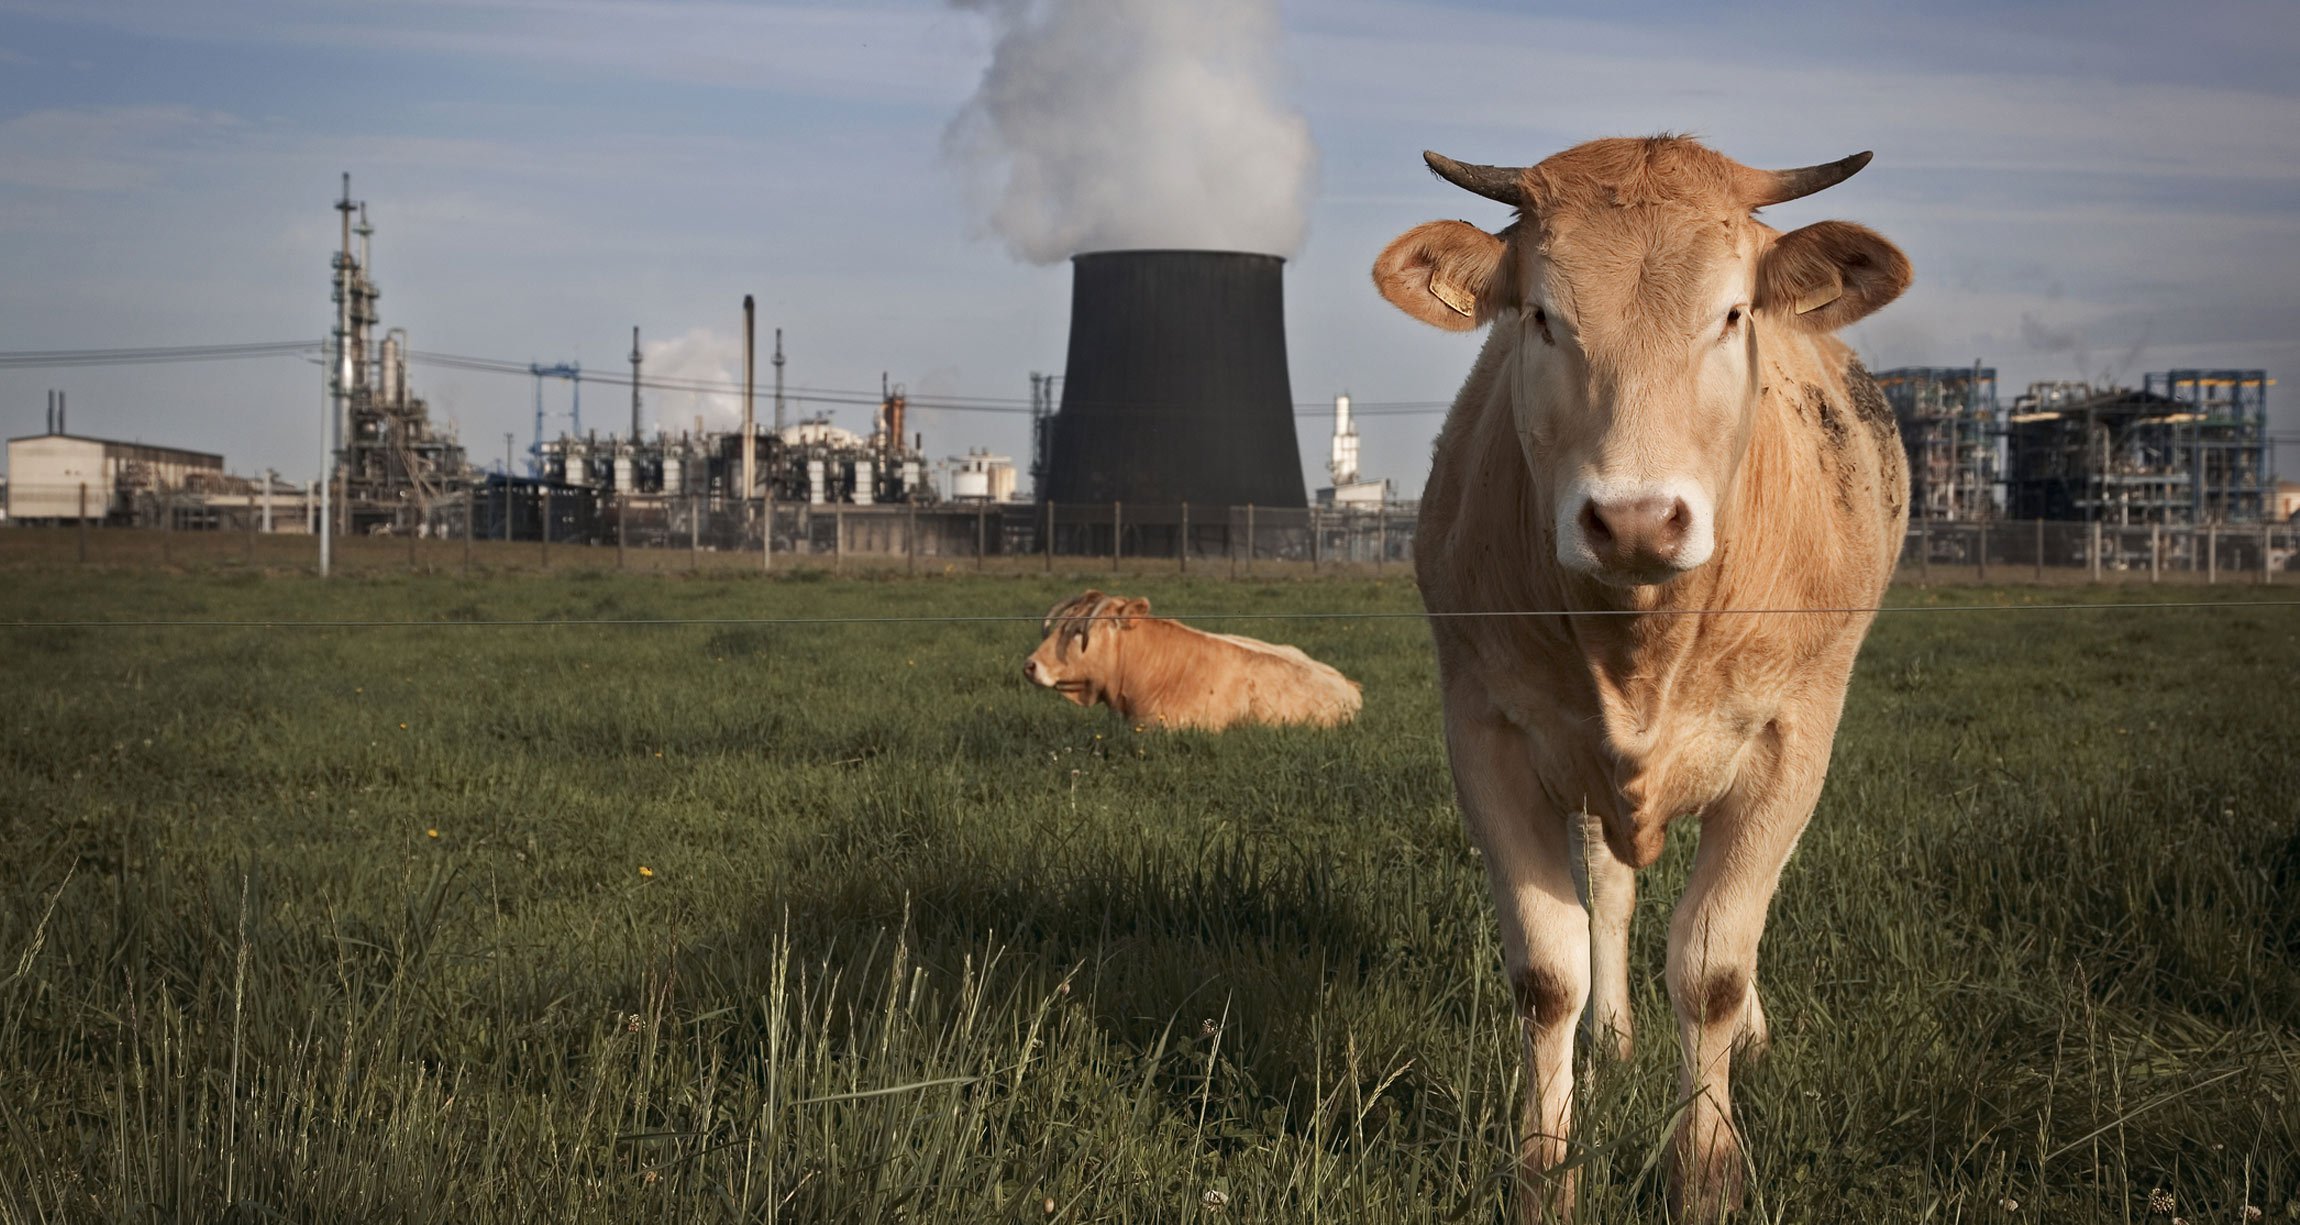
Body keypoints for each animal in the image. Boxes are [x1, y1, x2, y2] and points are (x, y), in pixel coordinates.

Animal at [1370, 138, 1913, 1213]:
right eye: (1541, 315)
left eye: (1735, 313)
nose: (1632, 519)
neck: (1640, 645)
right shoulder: (1486, 733)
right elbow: (1550, 969)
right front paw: (1546, 1172)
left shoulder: (1794, 737)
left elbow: (1713, 964)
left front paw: (1705, 1168)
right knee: (1612, 894)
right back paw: (1615, 1035)